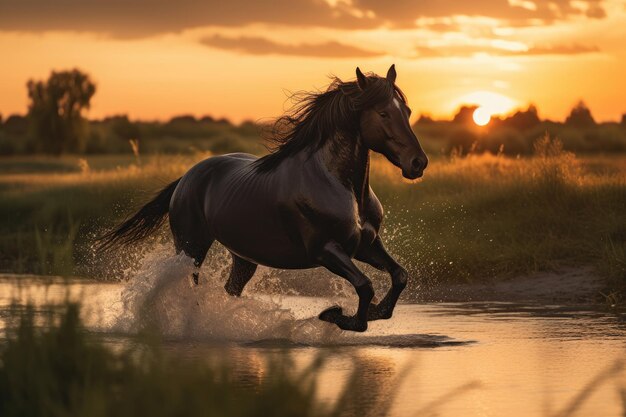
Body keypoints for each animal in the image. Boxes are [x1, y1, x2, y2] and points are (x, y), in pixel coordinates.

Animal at [100, 65, 426, 332]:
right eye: (383, 113)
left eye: (408, 111)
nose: (418, 163)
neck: (340, 185)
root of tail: (187, 178)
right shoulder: (326, 250)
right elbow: (365, 286)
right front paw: (334, 315)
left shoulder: (365, 245)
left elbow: (399, 276)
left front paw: (373, 312)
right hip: (191, 247)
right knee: (189, 286)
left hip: (243, 258)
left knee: (230, 289)